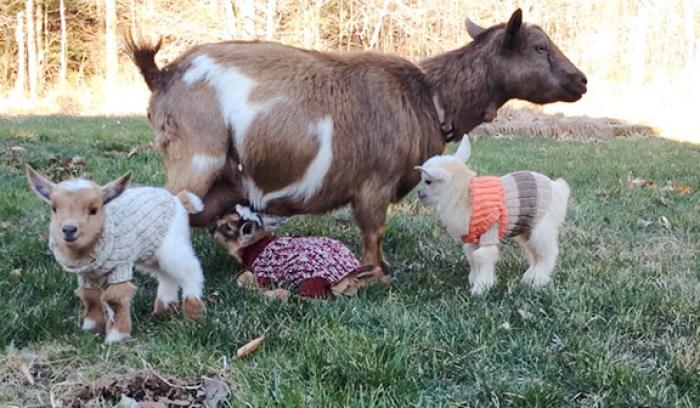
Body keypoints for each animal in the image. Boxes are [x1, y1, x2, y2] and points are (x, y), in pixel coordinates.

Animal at [28, 167, 208, 344]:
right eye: (54, 209)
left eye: (94, 210)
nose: (69, 229)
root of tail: (177, 200)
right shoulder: (87, 274)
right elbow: (90, 296)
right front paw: (91, 327)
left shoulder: (120, 266)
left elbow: (115, 297)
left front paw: (116, 336)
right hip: (152, 251)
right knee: (166, 276)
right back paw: (163, 309)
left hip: (172, 244)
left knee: (191, 269)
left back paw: (192, 311)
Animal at [126, 10, 584, 284]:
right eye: (539, 47)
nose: (581, 81)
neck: (428, 95)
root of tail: (163, 74)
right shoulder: (374, 184)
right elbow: (374, 231)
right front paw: (375, 275)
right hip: (196, 158)